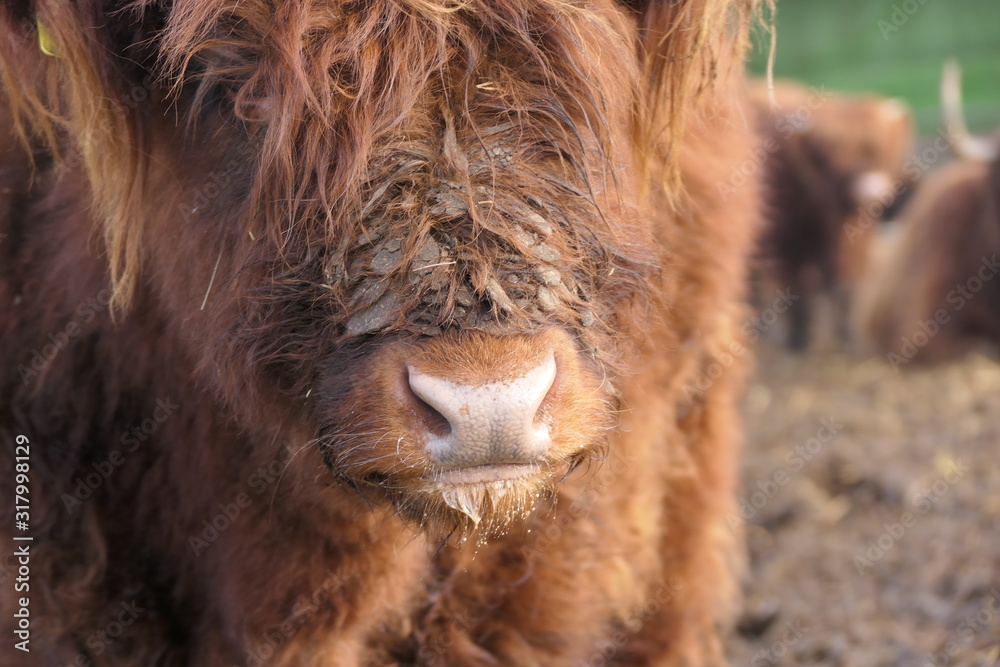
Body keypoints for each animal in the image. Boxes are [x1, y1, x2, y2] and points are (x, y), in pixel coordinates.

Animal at [752, 79, 916, 350]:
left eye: (878, 151)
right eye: (832, 156)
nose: (871, 189)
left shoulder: (856, 238)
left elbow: (843, 285)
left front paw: (847, 335)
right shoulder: (785, 242)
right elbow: (795, 290)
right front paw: (798, 339)